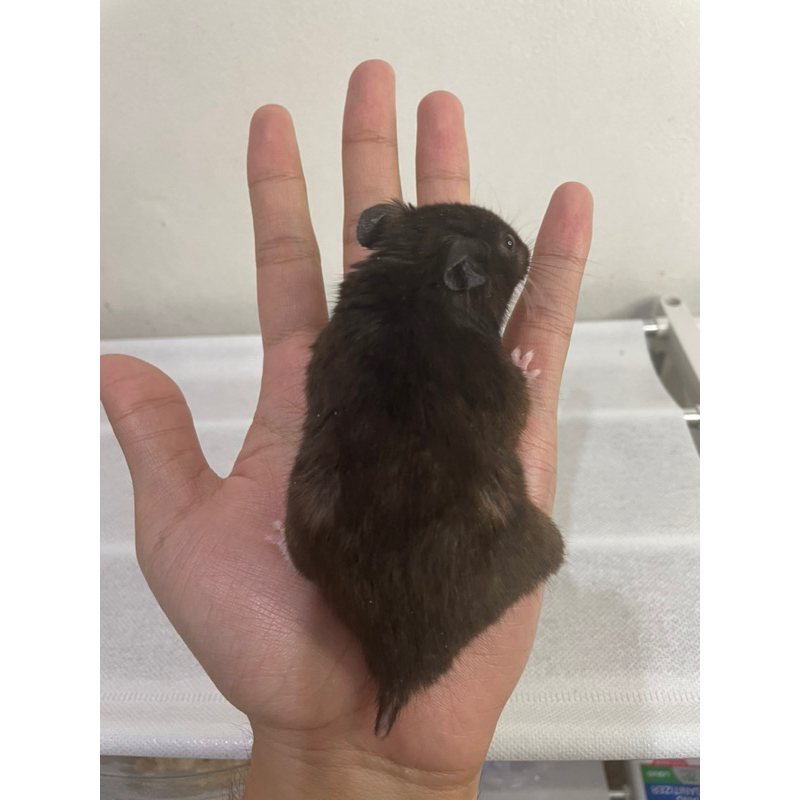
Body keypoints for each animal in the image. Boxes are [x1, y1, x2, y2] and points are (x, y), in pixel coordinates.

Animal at [284, 201, 564, 737]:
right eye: (508, 245)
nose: (527, 246)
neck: (416, 276)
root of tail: (397, 672)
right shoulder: (503, 389)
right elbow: (522, 398)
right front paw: (529, 361)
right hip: (544, 543)